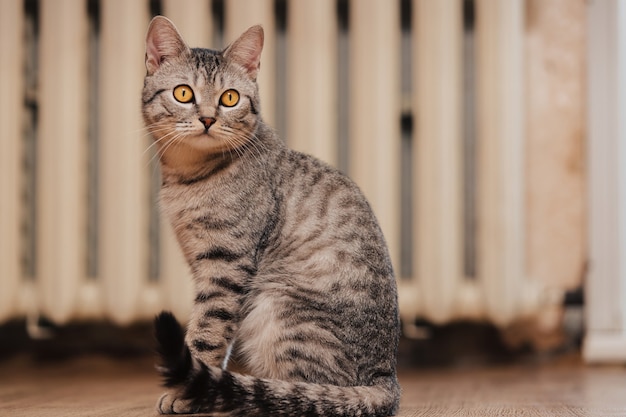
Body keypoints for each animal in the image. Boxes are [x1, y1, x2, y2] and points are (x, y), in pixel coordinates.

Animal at [142, 14, 400, 414]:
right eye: (183, 93)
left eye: (230, 98)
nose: (207, 119)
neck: (189, 176)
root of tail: (386, 375)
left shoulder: (226, 264)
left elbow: (207, 330)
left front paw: (187, 391)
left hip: (276, 308)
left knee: (310, 391)